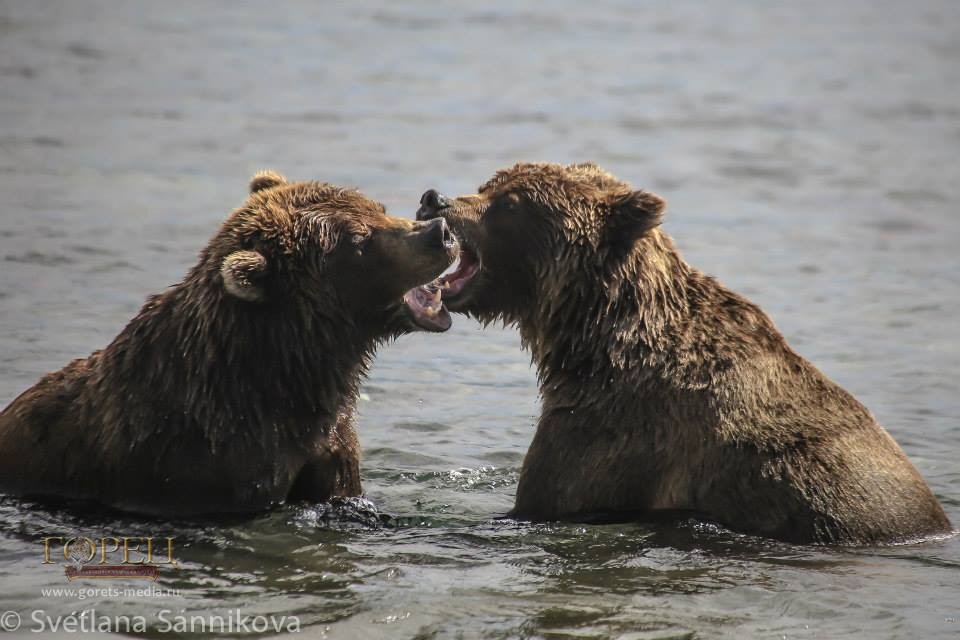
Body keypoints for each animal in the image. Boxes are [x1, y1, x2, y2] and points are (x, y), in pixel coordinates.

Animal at [418, 161, 952, 544]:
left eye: (510, 203)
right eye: (489, 183)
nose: (433, 198)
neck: (593, 337)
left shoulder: (609, 433)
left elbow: (543, 499)